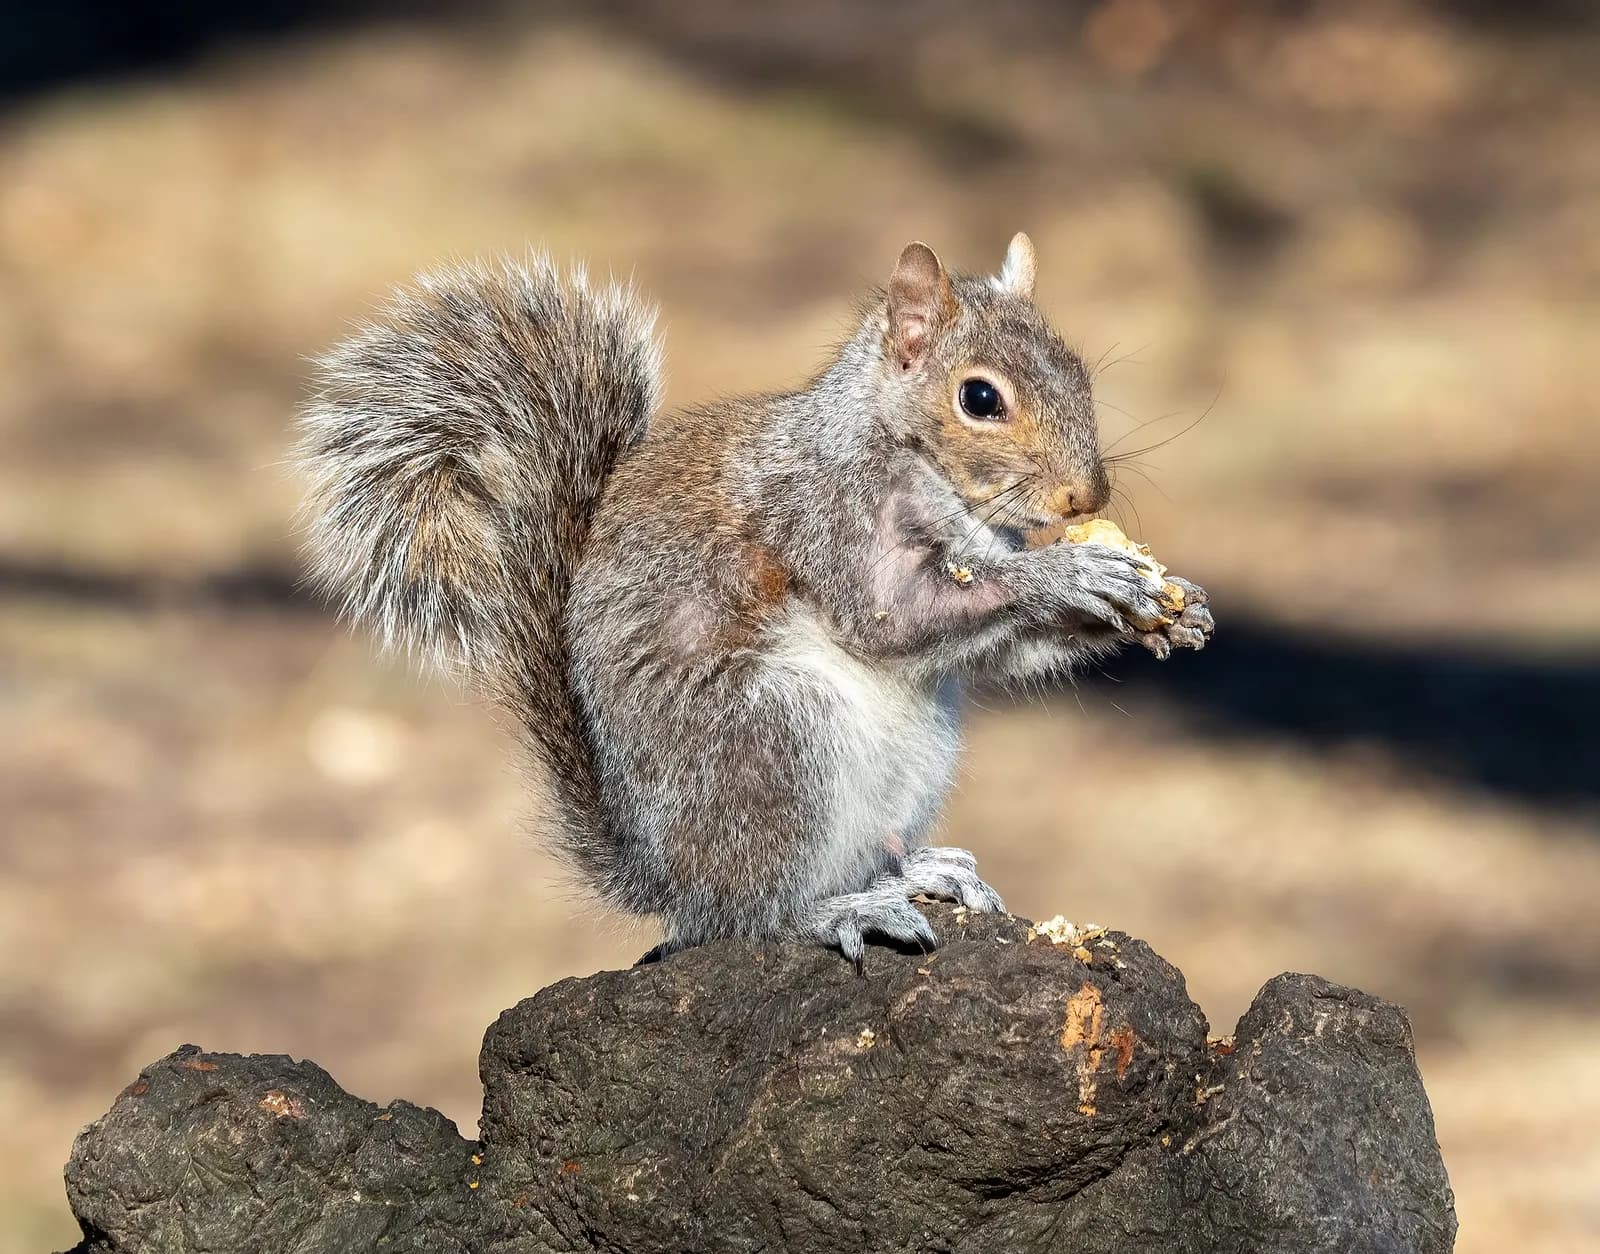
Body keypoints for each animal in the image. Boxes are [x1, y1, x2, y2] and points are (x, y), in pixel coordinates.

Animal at [297, 233, 1214, 965]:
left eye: (1079, 372)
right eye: (979, 398)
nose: (1086, 497)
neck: (905, 460)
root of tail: (663, 873)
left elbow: (1000, 642)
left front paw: (1163, 608)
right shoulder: (818, 511)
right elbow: (889, 616)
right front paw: (1073, 576)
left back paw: (916, 870)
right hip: (770, 739)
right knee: (748, 913)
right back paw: (837, 912)